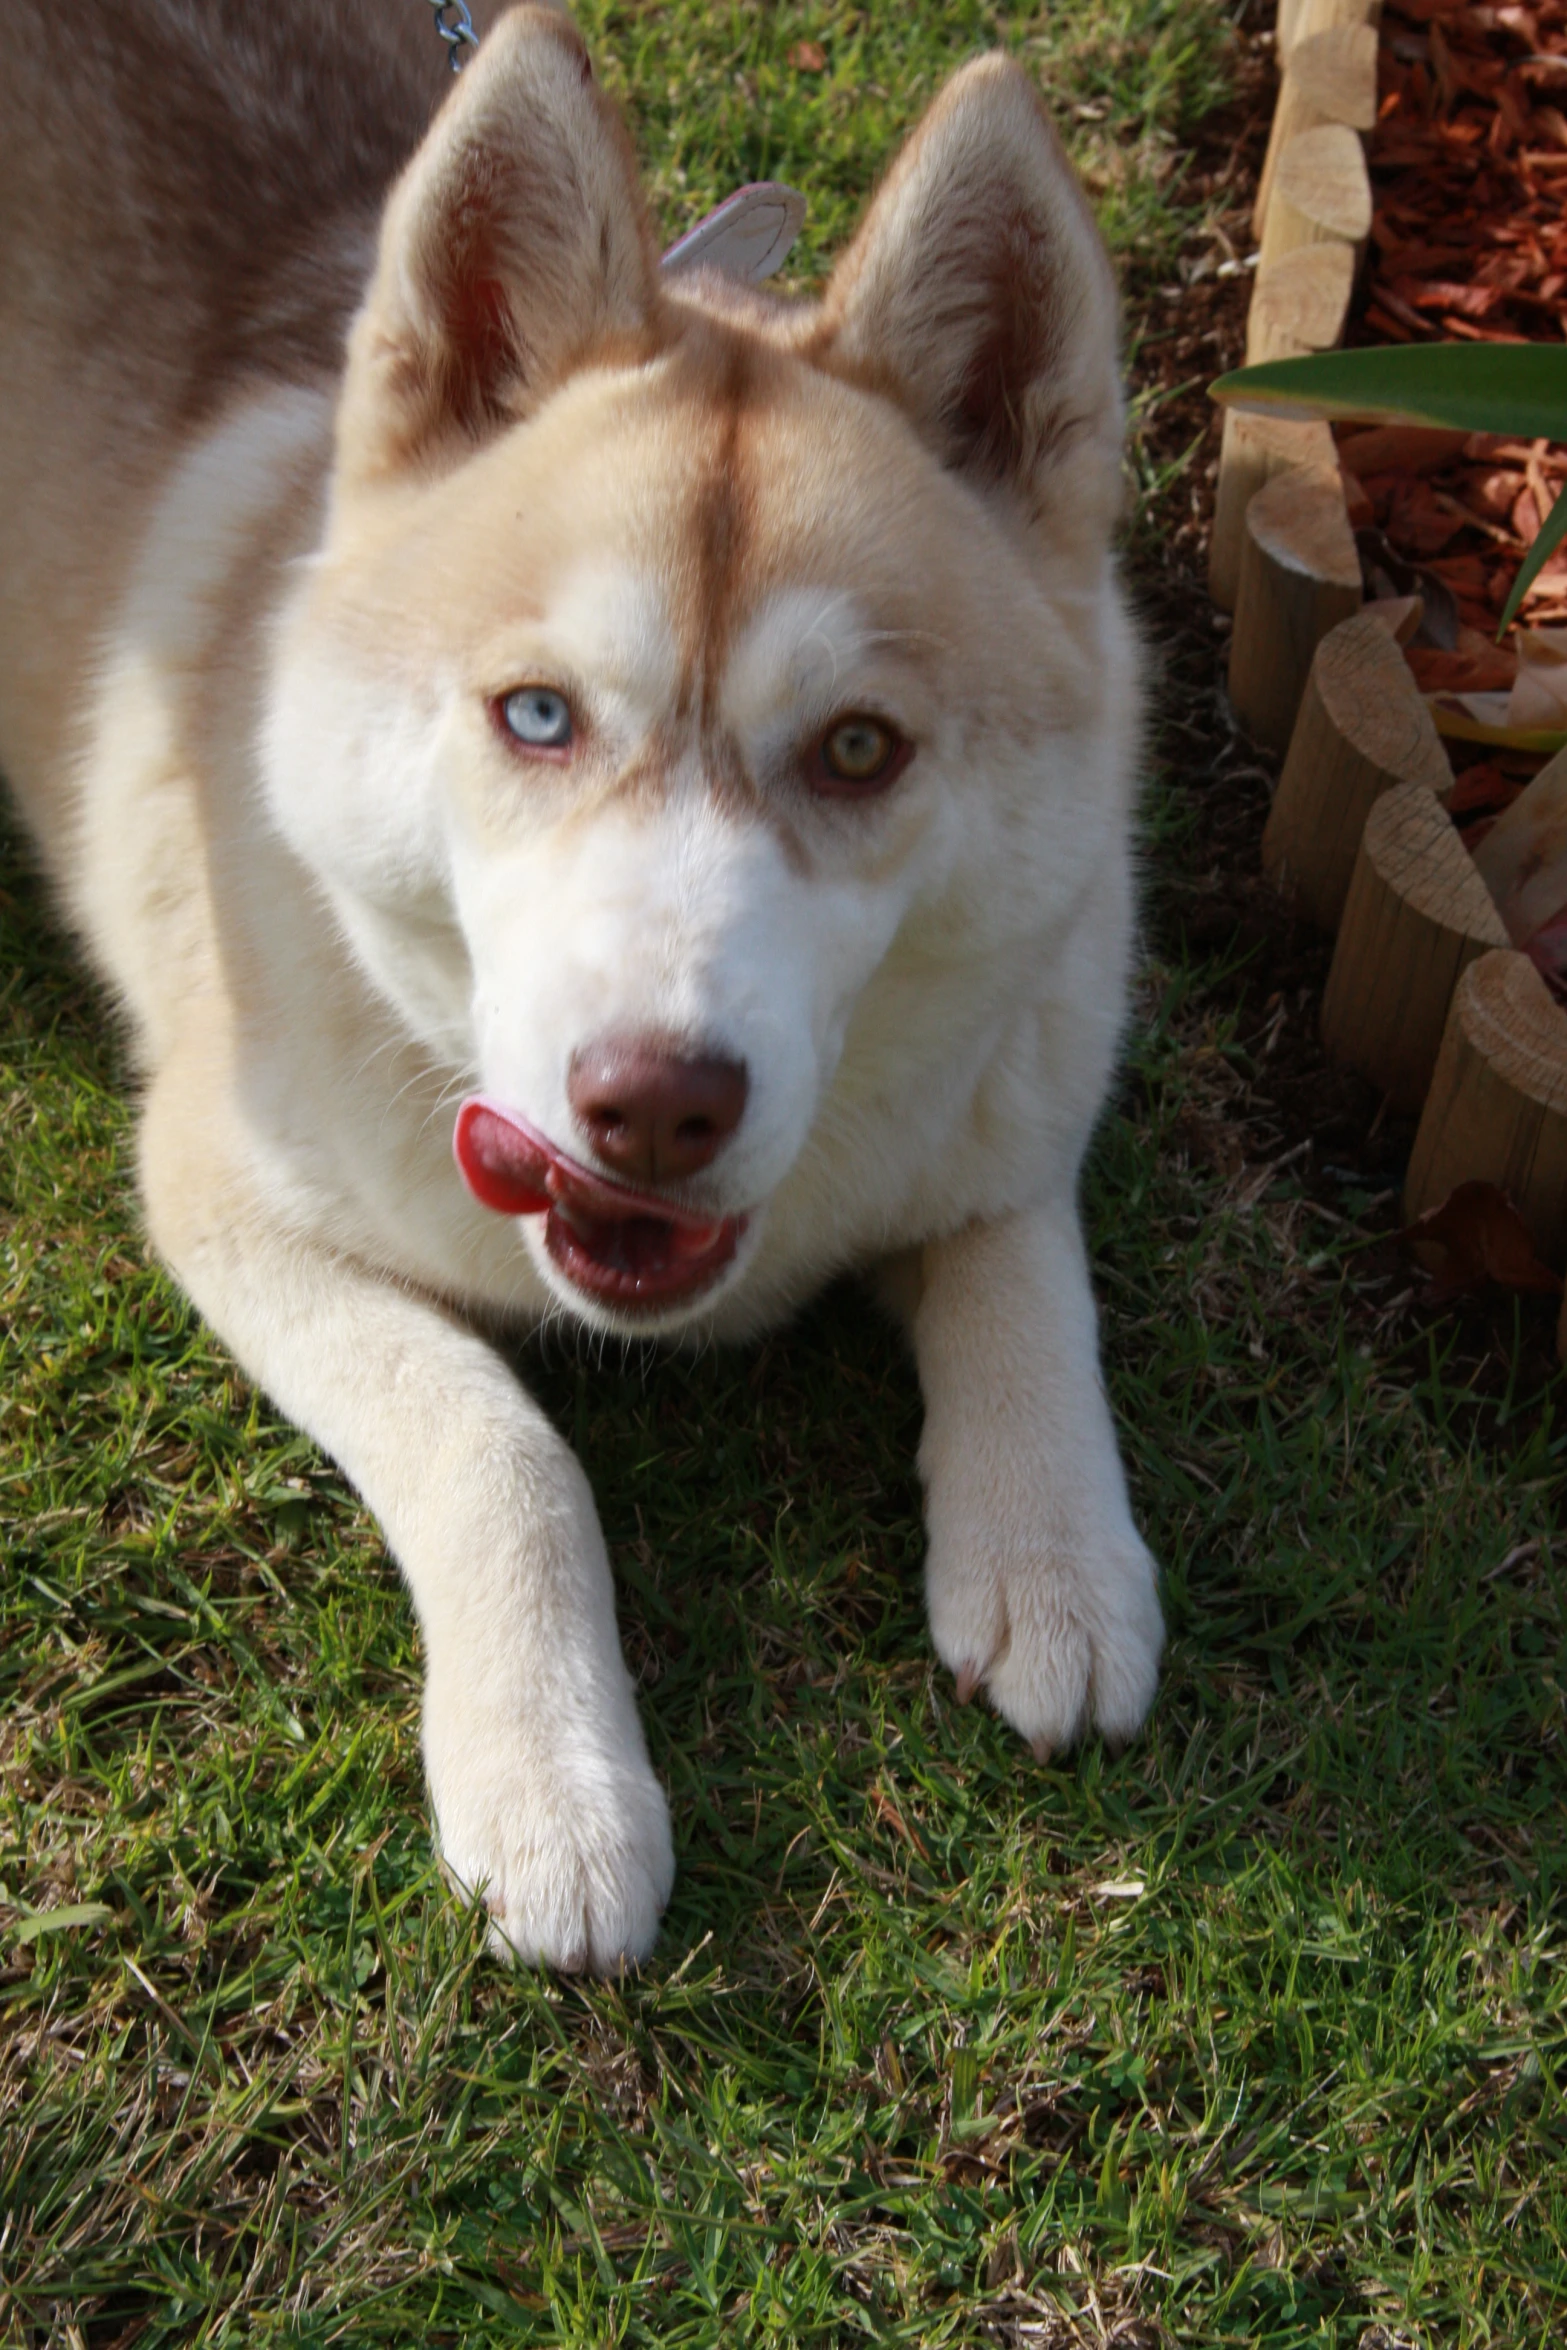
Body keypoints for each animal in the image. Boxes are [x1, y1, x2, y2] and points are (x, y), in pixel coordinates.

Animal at [3, 9, 1165, 1973]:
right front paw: (549, 1772)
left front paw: (1051, 1548)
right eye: (537, 714)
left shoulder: (1021, 1066)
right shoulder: (219, 1192)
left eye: (858, 748)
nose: (654, 1101)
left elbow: (1025, 1265)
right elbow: (498, 1446)